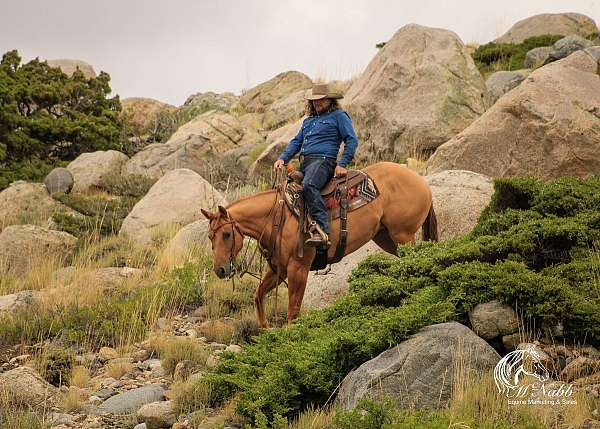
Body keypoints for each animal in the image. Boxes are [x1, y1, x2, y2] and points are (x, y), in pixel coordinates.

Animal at [199, 161, 438, 328]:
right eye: (210, 237)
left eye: (227, 234)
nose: (220, 270)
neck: (277, 217)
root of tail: (420, 181)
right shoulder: (279, 269)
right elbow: (258, 296)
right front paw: (265, 330)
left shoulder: (298, 268)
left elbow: (293, 310)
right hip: (387, 238)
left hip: (403, 235)